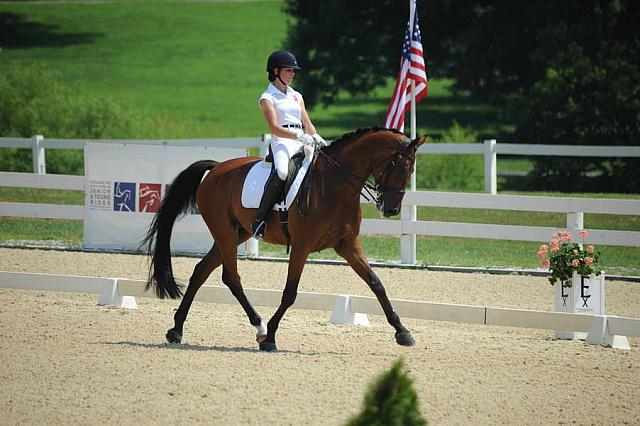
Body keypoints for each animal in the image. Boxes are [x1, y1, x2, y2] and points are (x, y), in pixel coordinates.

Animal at [142, 125, 428, 350]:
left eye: (411, 169)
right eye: (397, 165)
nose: (391, 209)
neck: (334, 185)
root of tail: (215, 169)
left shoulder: (347, 245)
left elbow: (376, 283)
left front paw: (402, 332)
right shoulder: (302, 246)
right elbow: (290, 292)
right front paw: (271, 336)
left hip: (236, 235)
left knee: (201, 271)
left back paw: (176, 329)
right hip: (224, 233)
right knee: (231, 278)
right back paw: (259, 328)